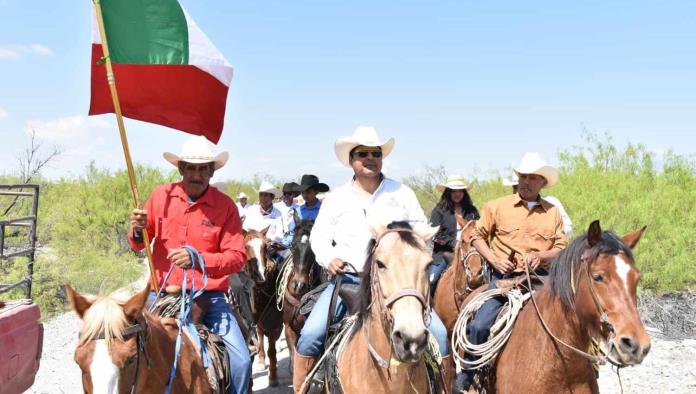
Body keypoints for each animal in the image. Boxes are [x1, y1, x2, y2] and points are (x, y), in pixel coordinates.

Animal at [243, 226, 284, 386]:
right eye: (245, 247)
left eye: (265, 246)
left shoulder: (273, 321)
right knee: (260, 335)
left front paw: (273, 376)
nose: (259, 274)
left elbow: (272, 350)